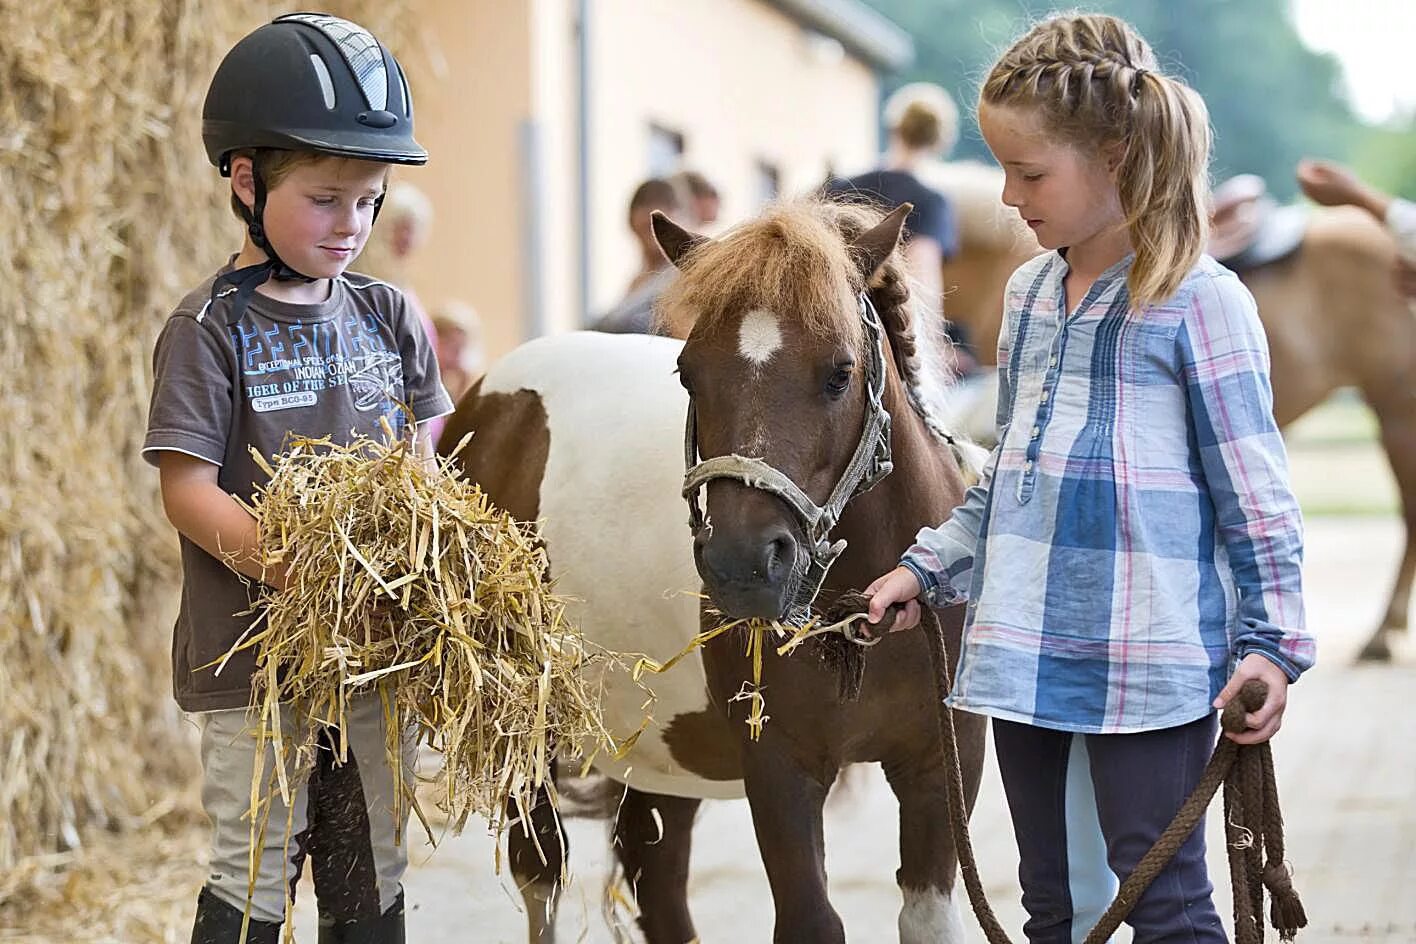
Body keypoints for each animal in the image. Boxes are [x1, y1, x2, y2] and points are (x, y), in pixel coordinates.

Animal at [441, 198, 985, 939]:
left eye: (839, 372)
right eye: (687, 373)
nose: (742, 564)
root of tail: (485, 405)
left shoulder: (940, 770)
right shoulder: (780, 770)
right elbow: (812, 920)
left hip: (663, 758)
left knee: (659, 886)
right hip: (528, 732)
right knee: (541, 871)